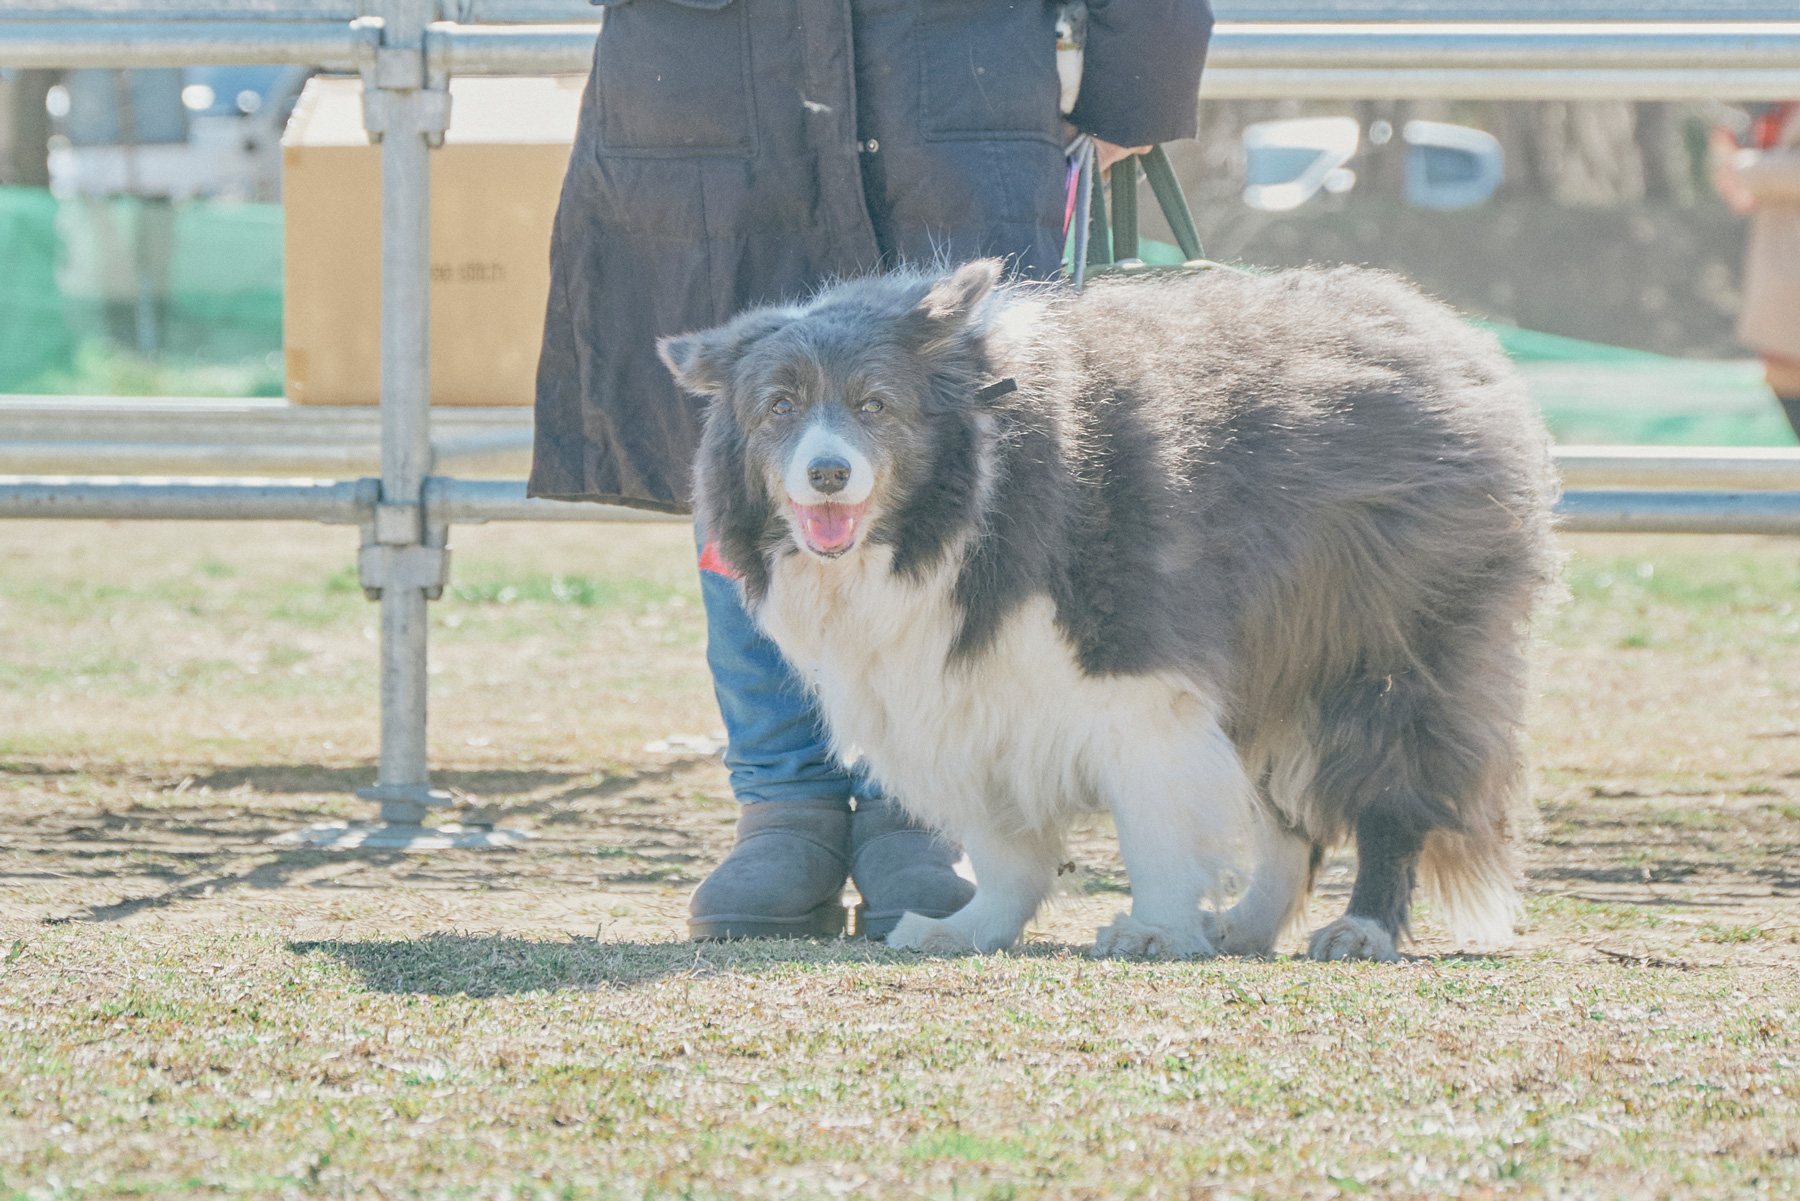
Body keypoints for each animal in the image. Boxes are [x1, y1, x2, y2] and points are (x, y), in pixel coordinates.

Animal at [662, 259, 1562, 965]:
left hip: (1388, 640)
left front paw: (1157, 928)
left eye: (874, 403)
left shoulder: (1140, 671)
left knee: (1392, 787)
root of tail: (1449, 332)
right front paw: (971, 926)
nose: (827, 474)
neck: (966, 505)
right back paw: (1247, 924)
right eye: (778, 407)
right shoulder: (961, 692)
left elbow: (1155, 814)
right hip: (1274, 653)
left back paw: (1362, 927)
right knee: (1287, 822)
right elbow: (1002, 842)